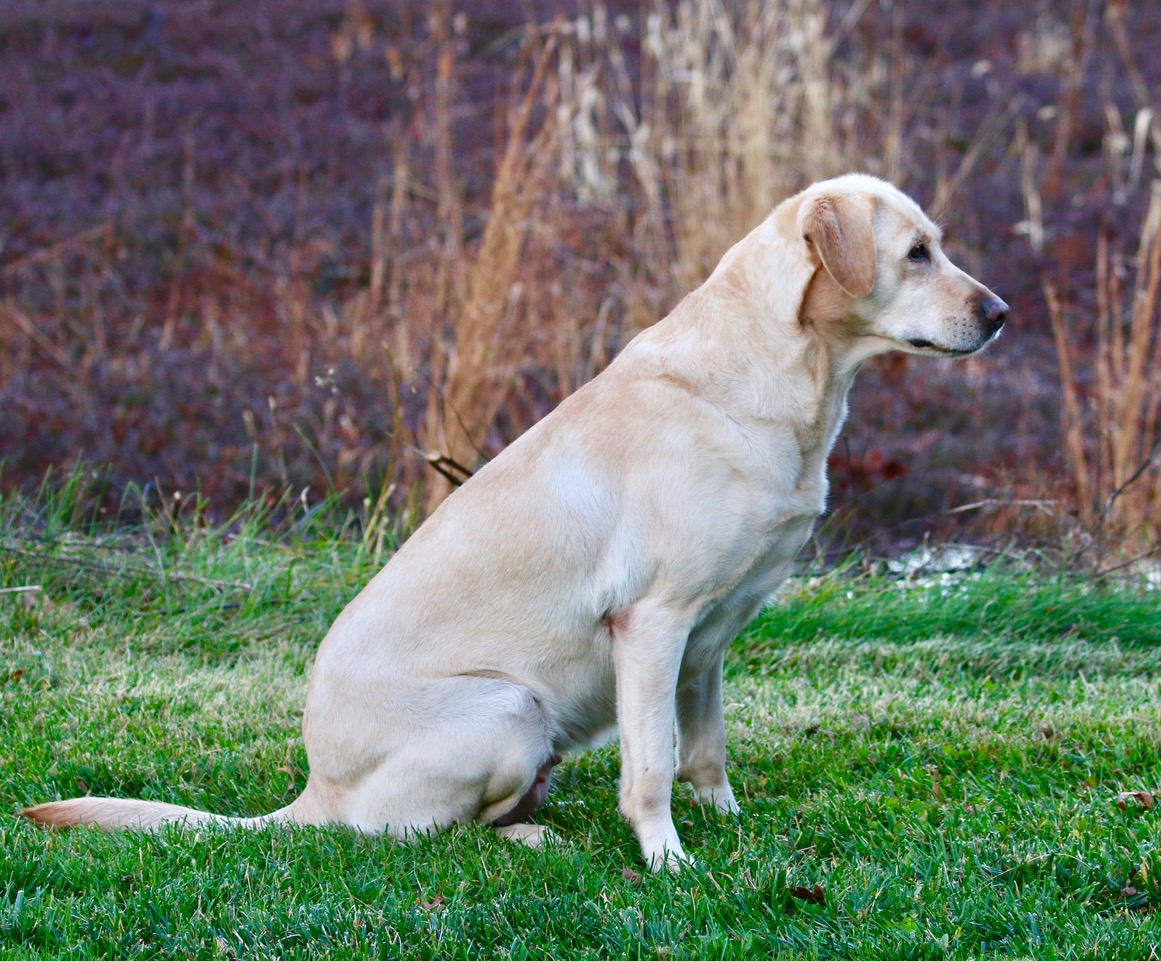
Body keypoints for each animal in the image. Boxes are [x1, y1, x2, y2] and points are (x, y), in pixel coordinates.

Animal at [24, 174, 1007, 872]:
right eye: (916, 253)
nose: (1000, 312)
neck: (786, 376)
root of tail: (313, 791)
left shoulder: (708, 638)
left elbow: (705, 750)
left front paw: (727, 824)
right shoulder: (651, 622)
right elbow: (652, 765)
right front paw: (670, 863)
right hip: (509, 704)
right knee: (412, 834)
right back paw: (527, 837)